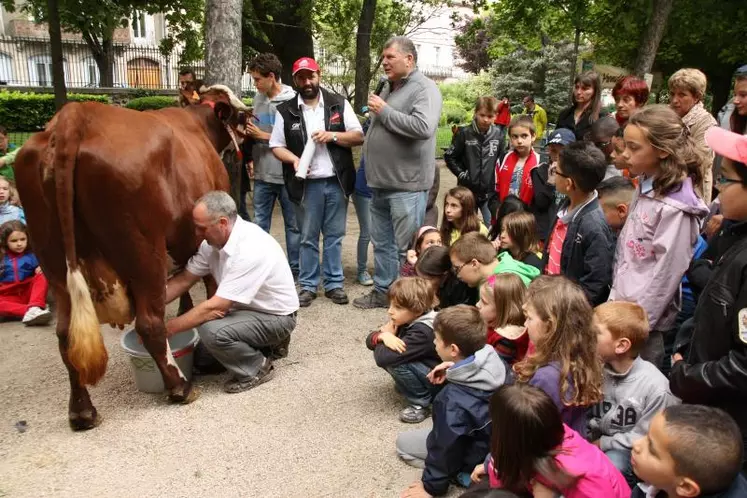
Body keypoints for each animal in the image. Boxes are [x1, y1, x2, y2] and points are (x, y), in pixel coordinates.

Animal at [13, 84, 250, 428]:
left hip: (52, 259)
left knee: (65, 334)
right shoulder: (198, 237)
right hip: (142, 249)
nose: (251, 120)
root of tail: (74, 116)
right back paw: (180, 387)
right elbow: (208, 283)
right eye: (239, 114)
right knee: (149, 323)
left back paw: (82, 411)